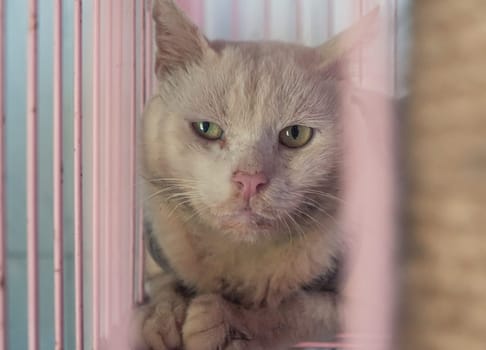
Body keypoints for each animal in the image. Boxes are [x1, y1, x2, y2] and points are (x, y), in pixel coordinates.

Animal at [135, 0, 378, 350]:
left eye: (295, 135)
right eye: (207, 129)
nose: (249, 179)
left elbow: (295, 310)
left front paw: (221, 320)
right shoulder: (157, 256)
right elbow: (163, 285)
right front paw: (163, 318)